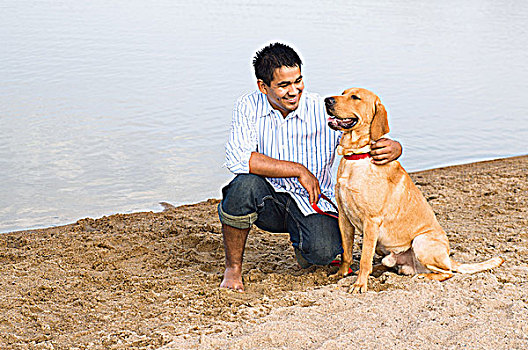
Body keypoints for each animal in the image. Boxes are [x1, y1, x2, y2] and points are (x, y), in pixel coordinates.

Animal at [324, 87, 506, 292]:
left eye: (355, 97)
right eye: (343, 93)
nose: (327, 100)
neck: (356, 156)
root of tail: (448, 258)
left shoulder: (371, 221)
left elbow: (364, 259)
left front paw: (360, 284)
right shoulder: (344, 218)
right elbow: (347, 253)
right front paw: (340, 275)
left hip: (421, 242)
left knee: (447, 272)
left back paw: (424, 277)